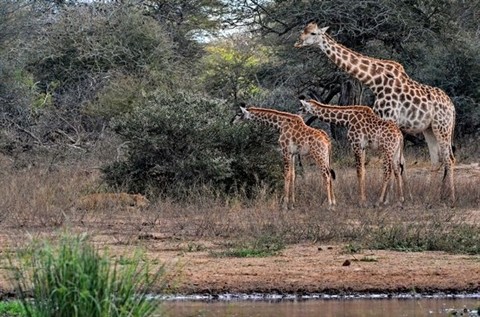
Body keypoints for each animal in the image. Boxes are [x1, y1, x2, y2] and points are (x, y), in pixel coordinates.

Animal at [294, 22, 456, 205]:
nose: (298, 43)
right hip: (429, 129)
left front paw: (388, 199)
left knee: (449, 158)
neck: (375, 81)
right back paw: (431, 196)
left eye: (313, 33)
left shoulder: (390, 119)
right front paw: (401, 197)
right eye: (303, 31)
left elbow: (392, 164)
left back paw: (451, 198)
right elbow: (398, 162)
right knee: (436, 159)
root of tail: (452, 107)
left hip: (442, 127)